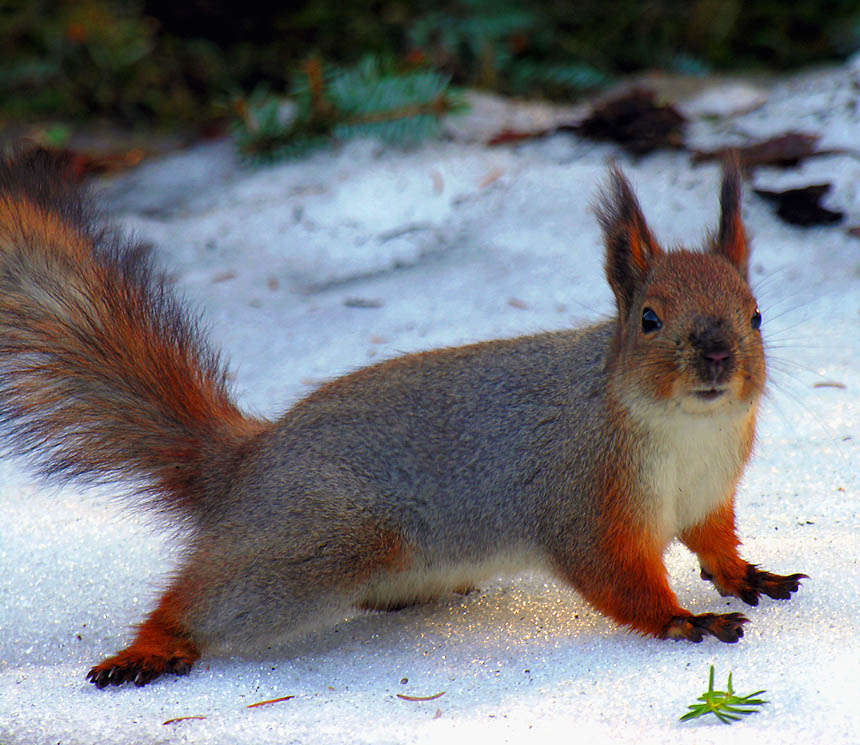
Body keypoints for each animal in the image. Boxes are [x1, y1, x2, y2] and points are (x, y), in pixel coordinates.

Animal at [0, 150, 805, 688]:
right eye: (648, 319)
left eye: (756, 315)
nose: (716, 355)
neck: (685, 431)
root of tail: (245, 462)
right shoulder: (583, 498)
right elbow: (615, 578)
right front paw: (682, 619)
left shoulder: (710, 491)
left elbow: (714, 541)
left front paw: (746, 574)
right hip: (322, 540)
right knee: (209, 598)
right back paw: (154, 644)